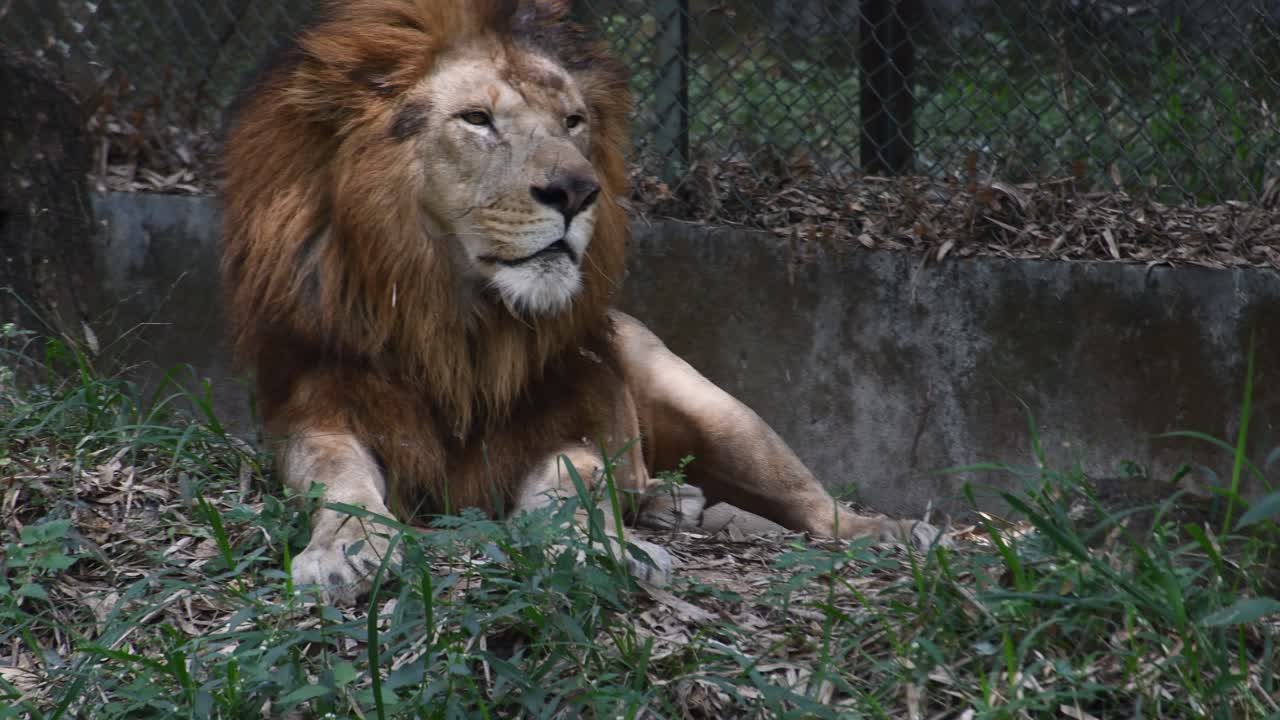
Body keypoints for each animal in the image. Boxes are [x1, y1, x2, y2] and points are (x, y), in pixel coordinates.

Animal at [221, 0, 944, 603]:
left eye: (573, 122)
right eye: (477, 120)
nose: (577, 191)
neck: (458, 325)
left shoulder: (573, 421)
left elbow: (572, 485)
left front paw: (599, 549)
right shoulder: (319, 409)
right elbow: (340, 481)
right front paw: (344, 552)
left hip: (722, 414)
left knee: (818, 505)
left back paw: (892, 532)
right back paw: (671, 501)